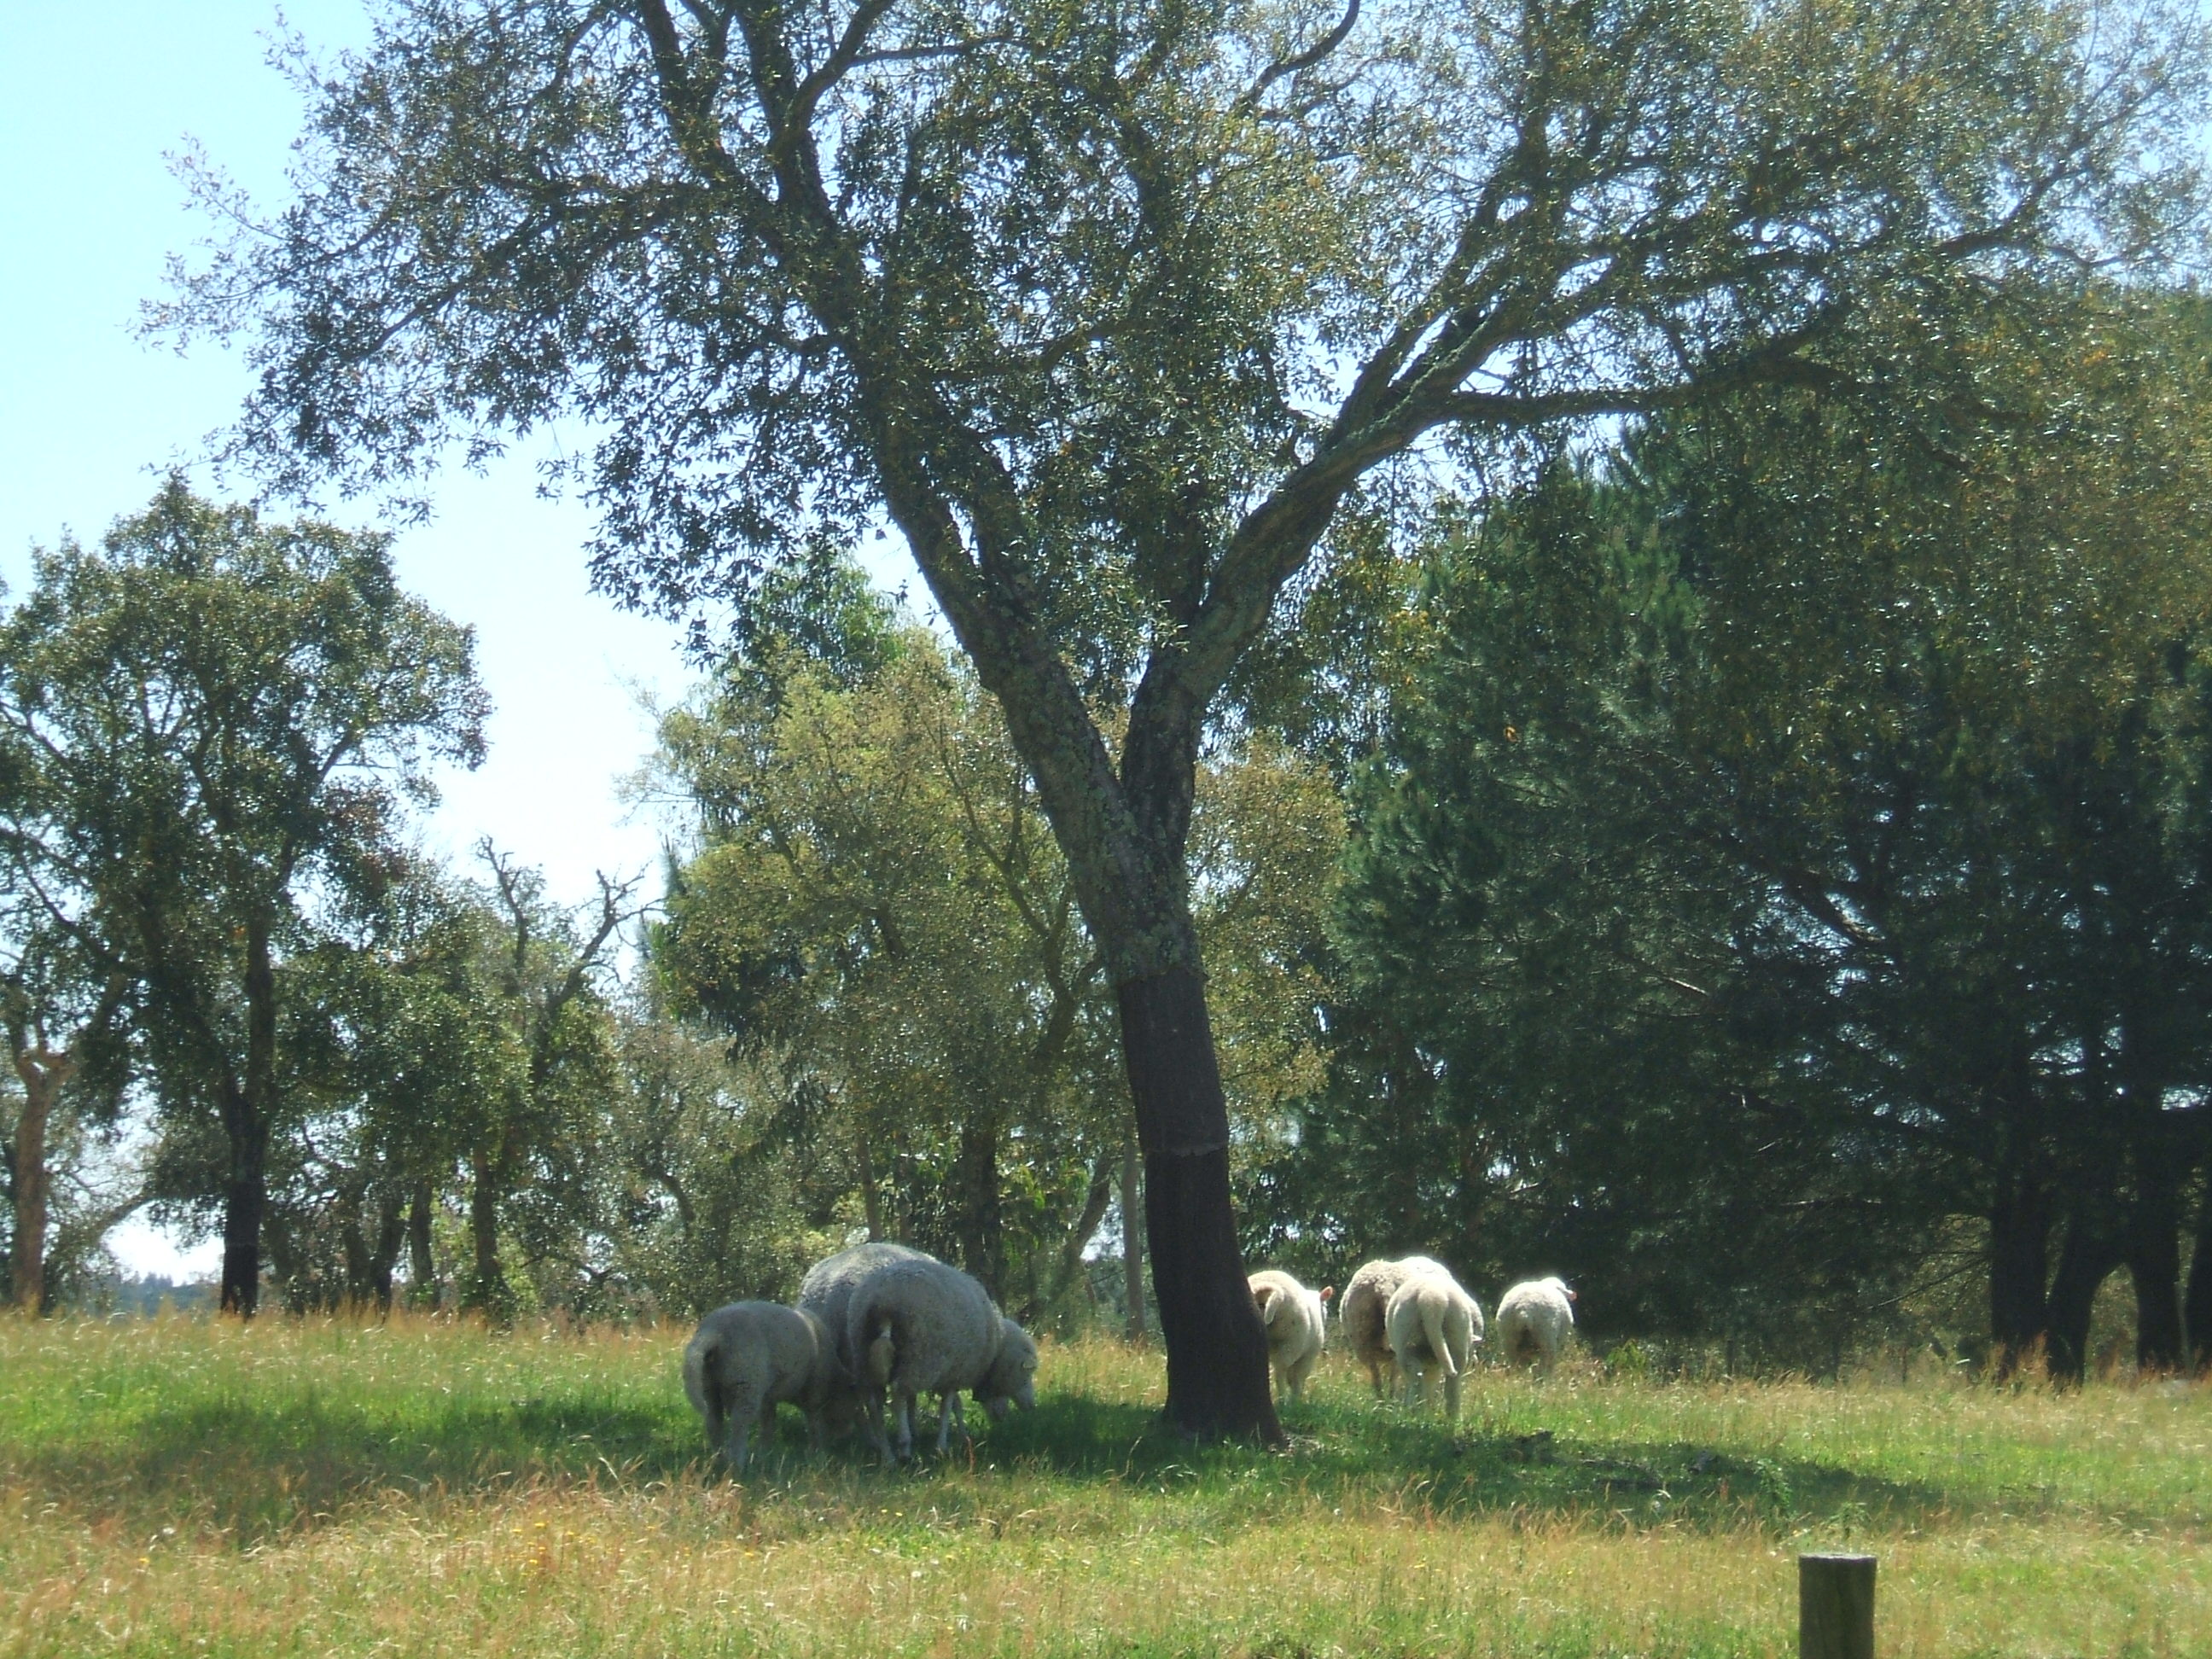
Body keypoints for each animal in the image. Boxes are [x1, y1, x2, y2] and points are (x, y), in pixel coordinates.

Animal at [681, 1309, 845, 1477]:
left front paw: (765, 1452)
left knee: (713, 1421)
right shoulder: (814, 1390)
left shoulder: (768, 1397)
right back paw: (737, 1466)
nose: (838, 1443)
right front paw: (817, 1451)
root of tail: (713, 1331)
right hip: (746, 1381)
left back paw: (719, 1460)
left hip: (708, 1386)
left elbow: (768, 1422)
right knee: (739, 1424)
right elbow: (813, 1421)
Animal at [1247, 1273, 1327, 1406]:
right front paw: (1295, 1400)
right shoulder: (1308, 1355)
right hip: (1291, 1340)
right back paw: (1282, 1400)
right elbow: (1297, 1378)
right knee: (1280, 1372)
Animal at [1327, 1256, 1451, 1406]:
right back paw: (1392, 1402)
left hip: (1362, 1340)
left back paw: (1382, 1403)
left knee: (1377, 1377)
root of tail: (1384, 1283)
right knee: (1394, 1376)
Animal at [1380, 1265, 1486, 1424]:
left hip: (1408, 1341)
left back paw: (1416, 1412)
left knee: (1416, 1376)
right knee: (1452, 1380)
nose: (1475, 1361)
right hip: (1455, 1334)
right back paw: (1453, 1417)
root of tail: (1433, 1297)